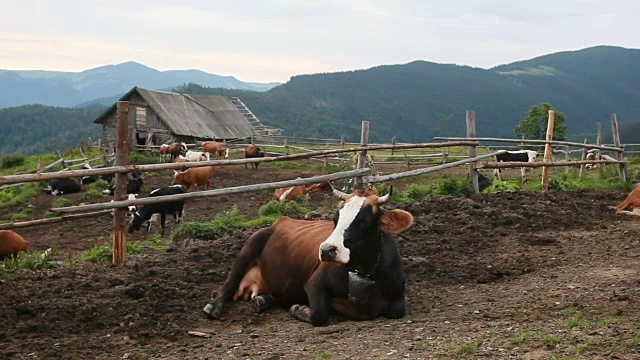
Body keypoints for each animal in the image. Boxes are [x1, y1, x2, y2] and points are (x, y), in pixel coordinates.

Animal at [204, 186, 416, 326]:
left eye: (363, 221)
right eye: (335, 219)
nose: (327, 250)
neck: (366, 270)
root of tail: (280, 221)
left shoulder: (397, 293)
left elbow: (397, 310)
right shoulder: (314, 284)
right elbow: (319, 315)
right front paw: (299, 309)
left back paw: (264, 300)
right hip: (248, 247)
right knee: (228, 284)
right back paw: (214, 307)